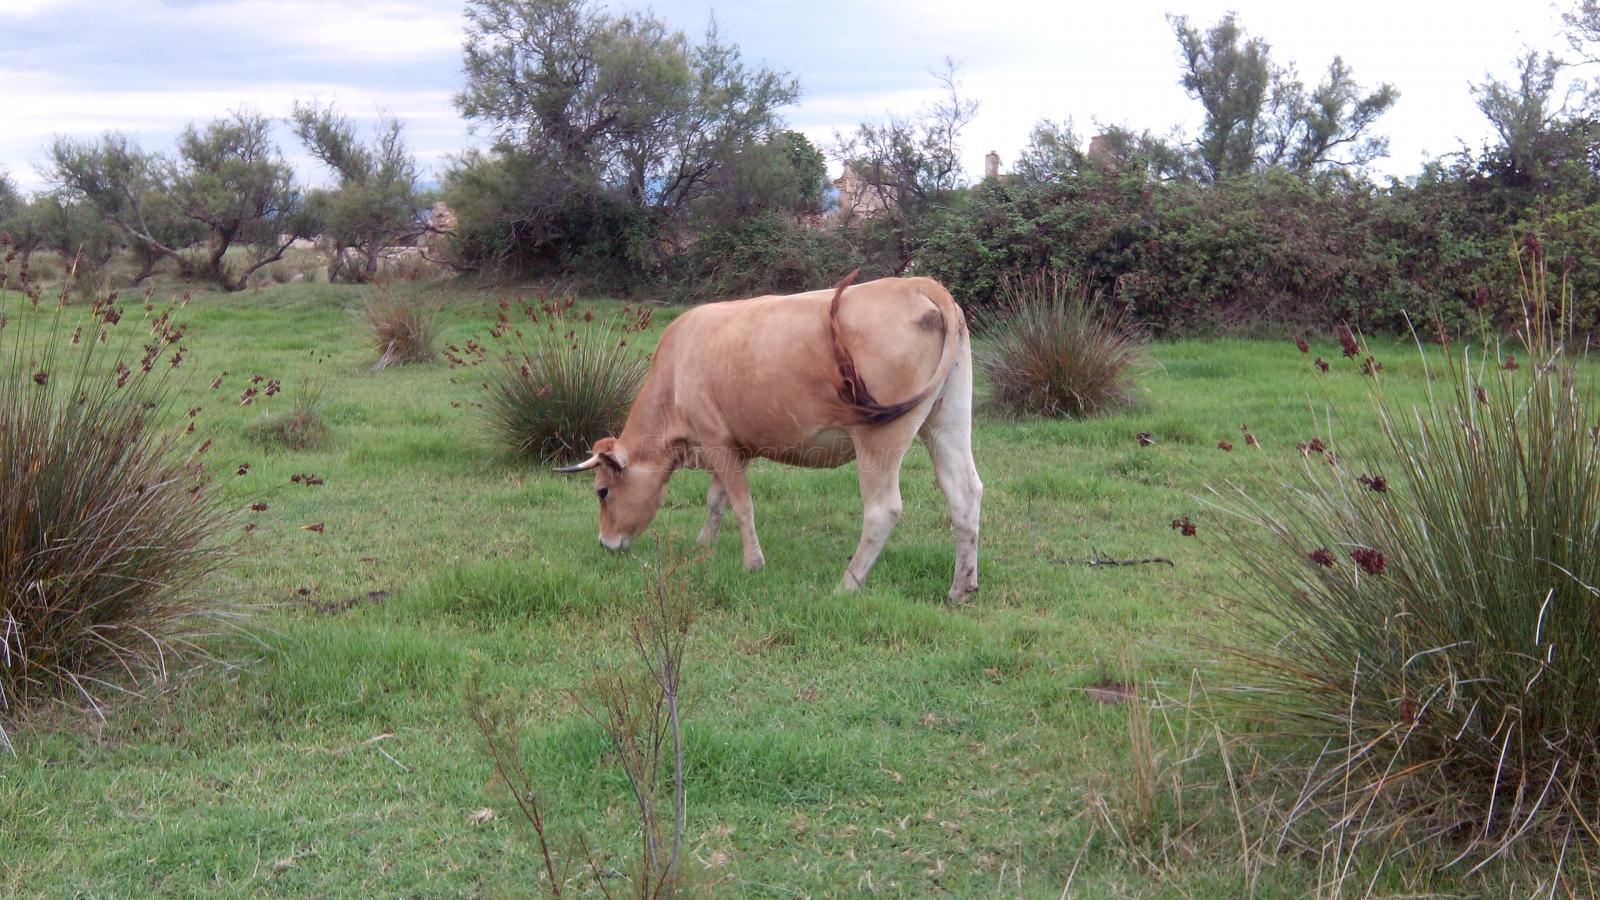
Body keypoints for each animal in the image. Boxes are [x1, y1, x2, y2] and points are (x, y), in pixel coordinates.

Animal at [556, 272, 983, 601]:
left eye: (602, 491)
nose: (606, 544)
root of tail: (915, 284)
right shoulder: (733, 445)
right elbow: (716, 500)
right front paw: (703, 545)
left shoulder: (716, 438)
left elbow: (741, 504)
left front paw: (752, 563)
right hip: (947, 422)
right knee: (964, 493)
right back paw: (961, 587)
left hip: (879, 438)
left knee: (883, 510)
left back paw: (846, 586)